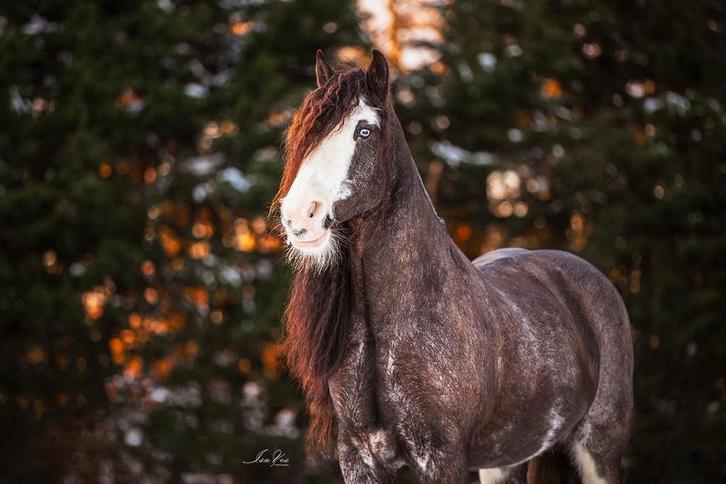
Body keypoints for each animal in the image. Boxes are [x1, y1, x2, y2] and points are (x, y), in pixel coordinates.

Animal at [271, 50, 634, 484]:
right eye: (306, 132)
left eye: (364, 131)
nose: (299, 216)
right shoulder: (359, 458)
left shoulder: (442, 458)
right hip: (503, 460)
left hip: (599, 449)